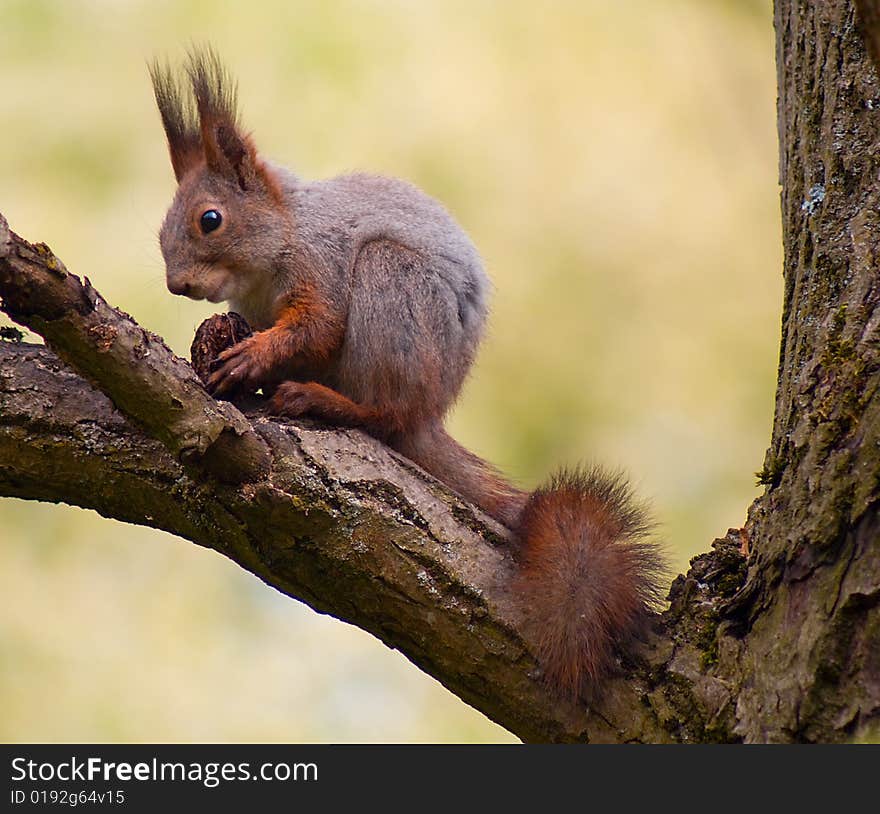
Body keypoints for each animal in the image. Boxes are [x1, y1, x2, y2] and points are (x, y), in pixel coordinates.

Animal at [150, 49, 668, 700]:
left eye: (211, 220)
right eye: (160, 230)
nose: (176, 285)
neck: (280, 242)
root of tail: (432, 409)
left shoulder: (324, 266)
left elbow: (317, 326)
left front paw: (252, 357)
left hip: (390, 284)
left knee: (386, 414)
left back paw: (325, 401)